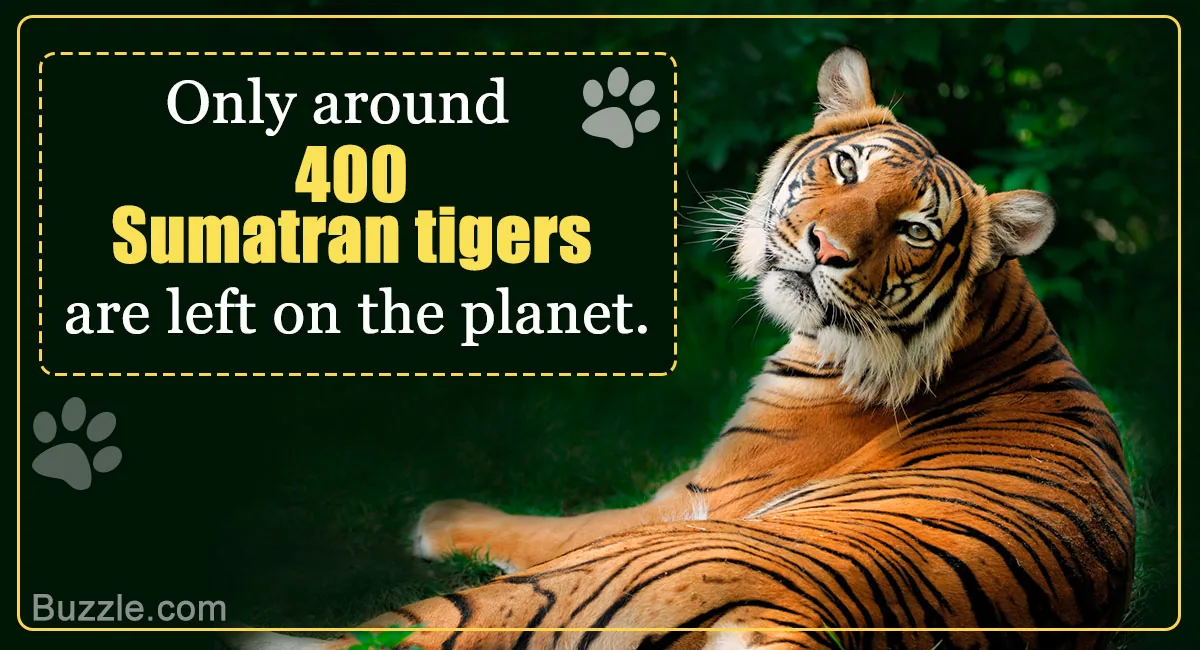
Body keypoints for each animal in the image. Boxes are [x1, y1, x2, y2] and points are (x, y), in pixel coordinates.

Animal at [228, 48, 1134, 650]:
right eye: (845, 165)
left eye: (915, 229)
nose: (826, 249)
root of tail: (791, 622)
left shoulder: (689, 497)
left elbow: (547, 522)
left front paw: (440, 516)